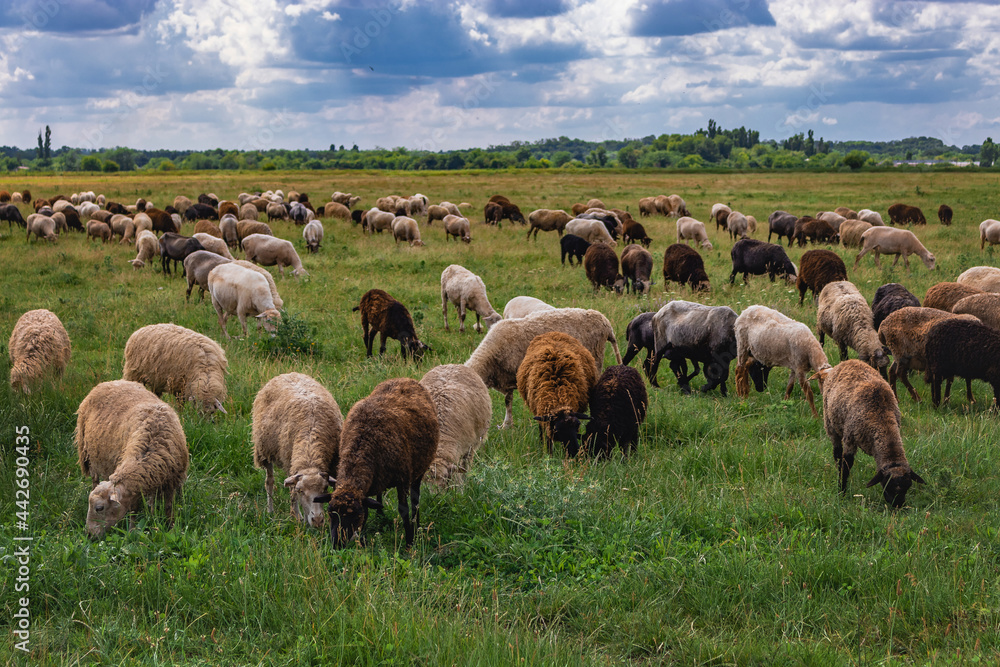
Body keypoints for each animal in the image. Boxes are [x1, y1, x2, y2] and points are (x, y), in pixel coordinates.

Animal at [75, 380, 189, 540]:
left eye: (99, 508)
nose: (89, 535)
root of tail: (110, 382)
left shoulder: (170, 481)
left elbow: (168, 506)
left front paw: (169, 526)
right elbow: (134, 509)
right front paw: (132, 530)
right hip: (89, 456)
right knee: (94, 479)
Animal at [251, 372, 342, 527]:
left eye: (325, 489)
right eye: (301, 491)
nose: (317, 520)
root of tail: (287, 373)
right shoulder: (290, 464)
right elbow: (293, 494)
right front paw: (300, 519)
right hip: (264, 450)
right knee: (269, 482)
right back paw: (271, 511)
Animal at [815, 360, 925, 507]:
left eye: (907, 487)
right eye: (887, 485)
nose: (897, 505)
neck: (881, 418)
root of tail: (847, 361)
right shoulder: (850, 438)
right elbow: (847, 465)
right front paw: (841, 492)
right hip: (831, 425)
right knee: (837, 455)